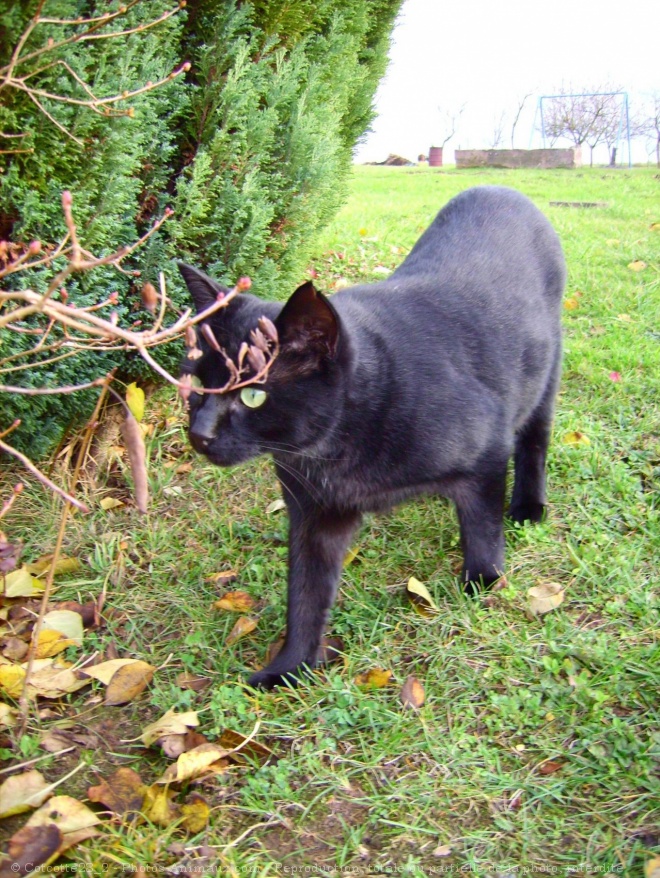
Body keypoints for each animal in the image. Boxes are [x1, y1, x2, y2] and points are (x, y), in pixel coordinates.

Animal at [178, 187, 564, 696]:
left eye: (252, 394)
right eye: (196, 385)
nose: (199, 433)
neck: (338, 449)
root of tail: (504, 190)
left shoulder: (488, 450)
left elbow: (482, 529)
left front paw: (482, 582)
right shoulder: (314, 513)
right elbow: (305, 595)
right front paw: (290, 668)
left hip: (545, 376)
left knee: (535, 442)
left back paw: (527, 507)